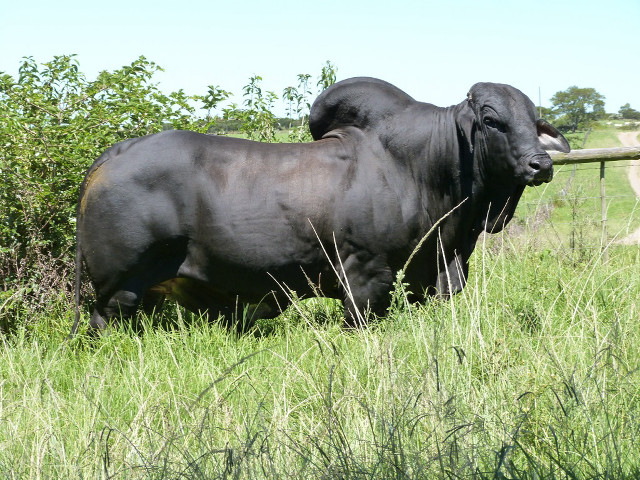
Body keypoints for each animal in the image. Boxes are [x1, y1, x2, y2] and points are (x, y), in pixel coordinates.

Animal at [69, 77, 569, 337]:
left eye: (534, 121)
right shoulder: (365, 277)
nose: (540, 163)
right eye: (491, 120)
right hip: (116, 291)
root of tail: (115, 153)